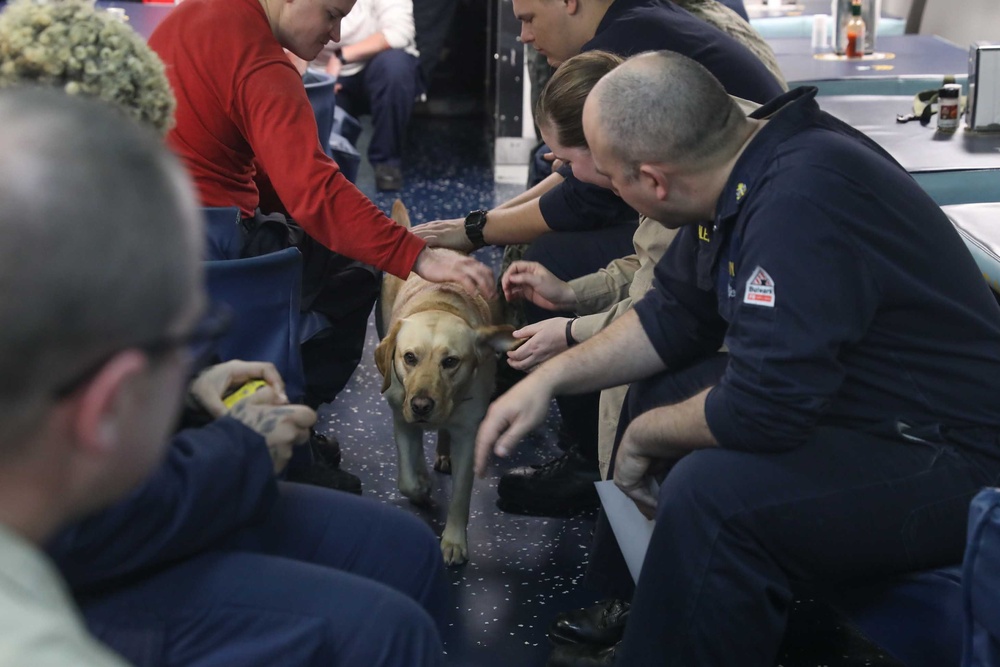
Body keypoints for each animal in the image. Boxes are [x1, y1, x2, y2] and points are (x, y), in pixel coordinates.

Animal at [376, 201, 516, 568]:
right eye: (409, 357)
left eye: (451, 361)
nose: (422, 405)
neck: (439, 304)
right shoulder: (402, 419)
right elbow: (407, 479)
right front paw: (422, 487)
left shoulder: (469, 434)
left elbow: (461, 496)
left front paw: (453, 541)